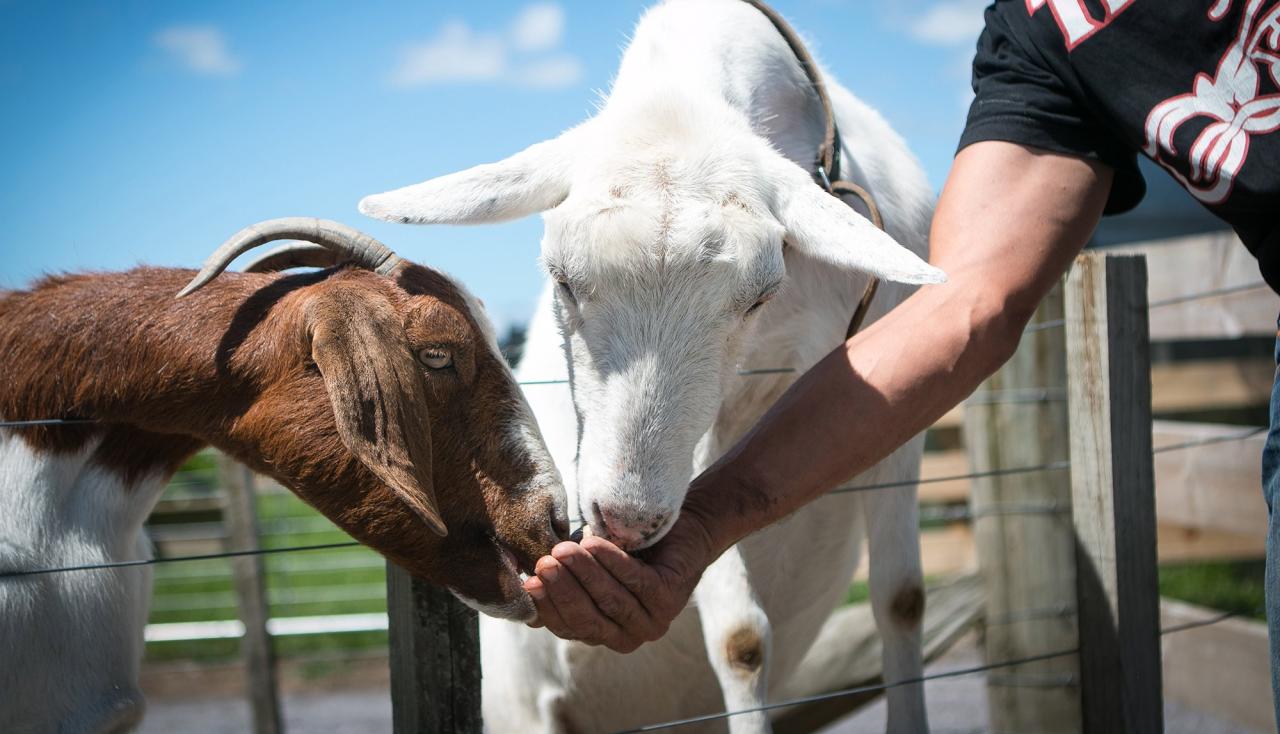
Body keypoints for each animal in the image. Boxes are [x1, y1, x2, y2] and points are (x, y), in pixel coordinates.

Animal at [360, 0, 942, 727]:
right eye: (560, 279)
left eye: (760, 294)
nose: (627, 520)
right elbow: (742, 639)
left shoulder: (889, 405)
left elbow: (901, 600)